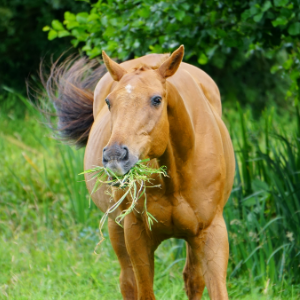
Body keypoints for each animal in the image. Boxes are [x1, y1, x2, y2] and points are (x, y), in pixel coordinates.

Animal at [45, 45, 236, 300]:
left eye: (156, 99)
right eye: (109, 102)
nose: (115, 156)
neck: (175, 178)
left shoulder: (211, 234)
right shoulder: (137, 236)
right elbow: (143, 290)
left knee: (193, 280)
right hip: (116, 228)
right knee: (127, 282)